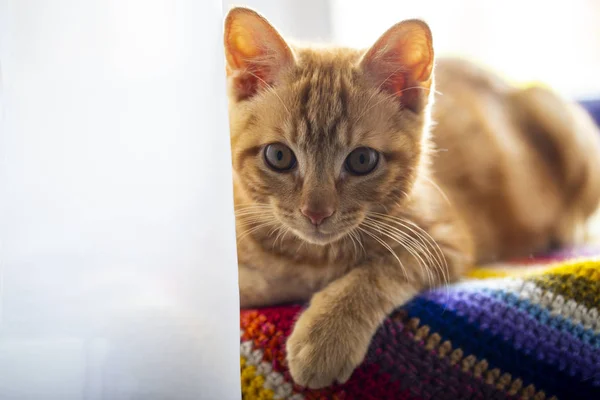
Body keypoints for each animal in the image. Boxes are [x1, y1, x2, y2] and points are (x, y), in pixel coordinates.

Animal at [221, 5, 600, 388]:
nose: (316, 213)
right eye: (278, 156)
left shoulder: (442, 240)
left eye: (362, 160)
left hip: (563, 123)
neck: (314, 255)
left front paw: (325, 335)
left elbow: (374, 272)